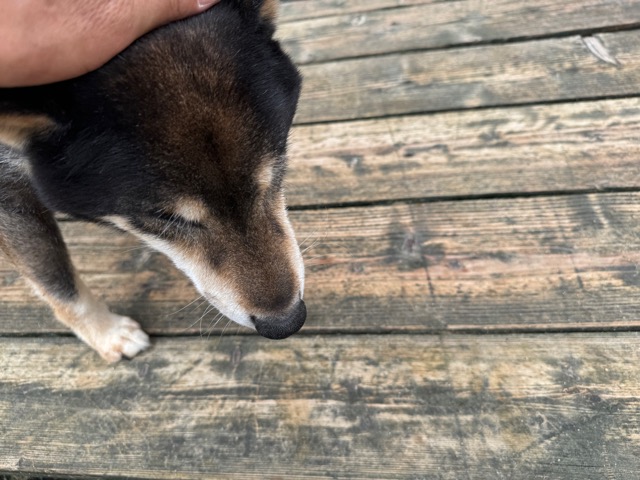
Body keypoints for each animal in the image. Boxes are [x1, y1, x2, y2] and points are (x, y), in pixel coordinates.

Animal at [0, 0, 306, 363]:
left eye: (277, 172)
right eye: (164, 217)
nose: (286, 323)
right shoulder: (9, 191)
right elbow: (57, 282)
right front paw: (109, 334)